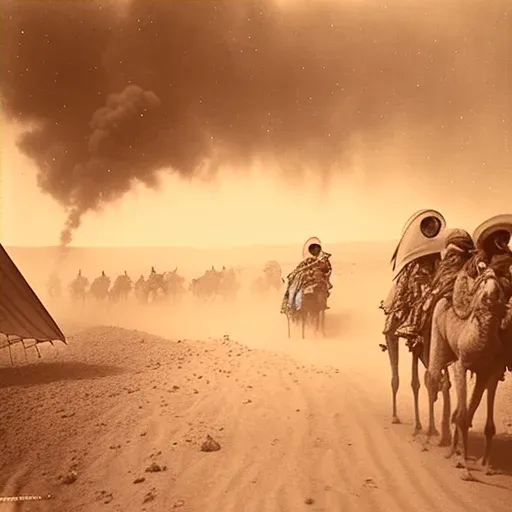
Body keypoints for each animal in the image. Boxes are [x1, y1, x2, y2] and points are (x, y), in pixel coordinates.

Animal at [426, 268, 510, 480]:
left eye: (499, 284)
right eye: (482, 281)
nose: (490, 293)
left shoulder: (492, 370)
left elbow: (482, 420)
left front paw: (486, 465)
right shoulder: (461, 364)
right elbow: (463, 416)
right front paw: (465, 467)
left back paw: (452, 449)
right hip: (437, 334)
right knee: (432, 379)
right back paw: (429, 437)